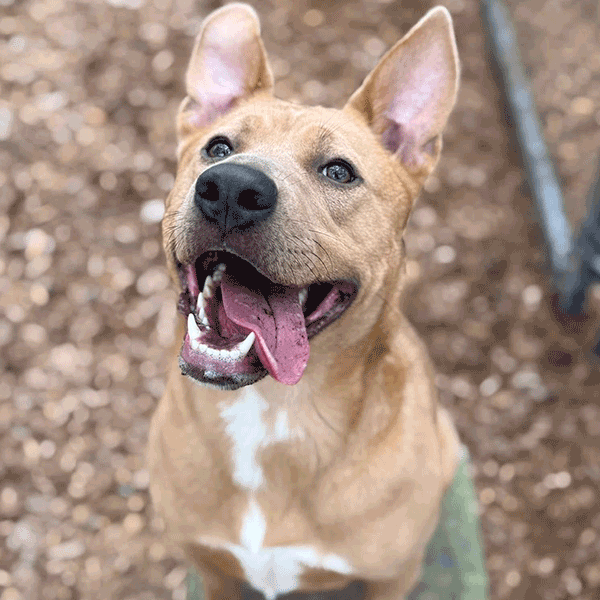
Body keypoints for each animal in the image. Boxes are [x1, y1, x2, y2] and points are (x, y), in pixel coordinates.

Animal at [148, 2, 462, 596]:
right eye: (218, 148)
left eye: (339, 171)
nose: (230, 189)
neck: (272, 412)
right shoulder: (210, 565)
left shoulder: (392, 576)